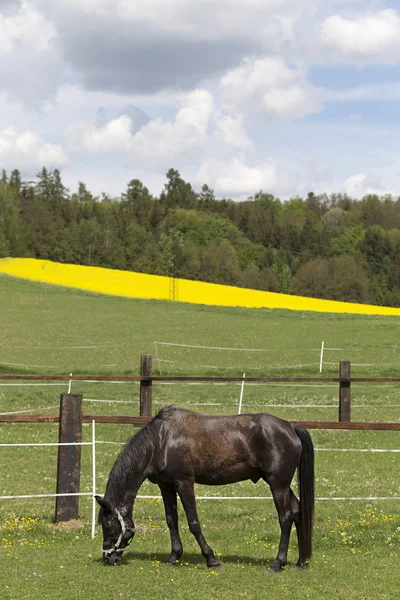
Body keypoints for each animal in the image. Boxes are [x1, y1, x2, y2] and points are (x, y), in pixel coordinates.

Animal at [95, 406, 314, 568]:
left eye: (108, 525)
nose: (109, 557)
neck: (161, 441)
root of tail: (290, 426)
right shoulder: (166, 487)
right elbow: (171, 521)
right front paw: (173, 557)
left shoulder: (184, 483)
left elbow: (194, 523)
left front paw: (211, 559)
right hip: (281, 485)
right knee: (297, 511)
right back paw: (300, 561)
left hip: (278, 486)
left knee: (285, 518)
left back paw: (277, 563)